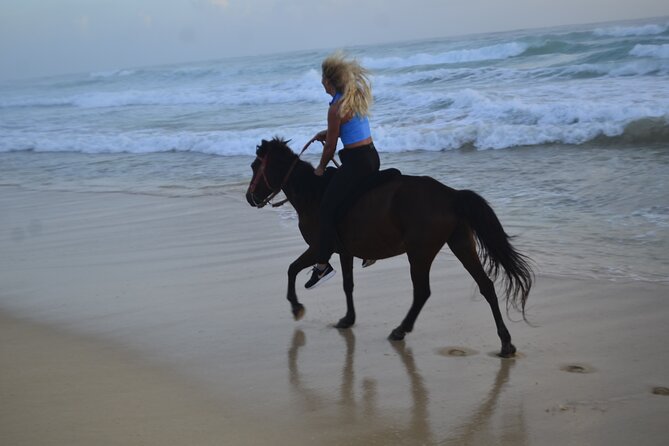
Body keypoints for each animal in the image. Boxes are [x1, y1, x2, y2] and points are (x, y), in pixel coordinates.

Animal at [245, 138, 532, 358]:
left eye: (254, 166)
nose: (249, 197)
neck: (313, 193)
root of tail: (451, 194)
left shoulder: (319, 247)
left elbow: (292, 269)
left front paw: (296, 306)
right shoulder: (344, 251)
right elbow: (347, 284)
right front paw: (348, 319)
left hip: (420, 252)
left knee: (422, 292)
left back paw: (400, 330)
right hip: (461, 243)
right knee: (486, 286)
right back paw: (506, 344)